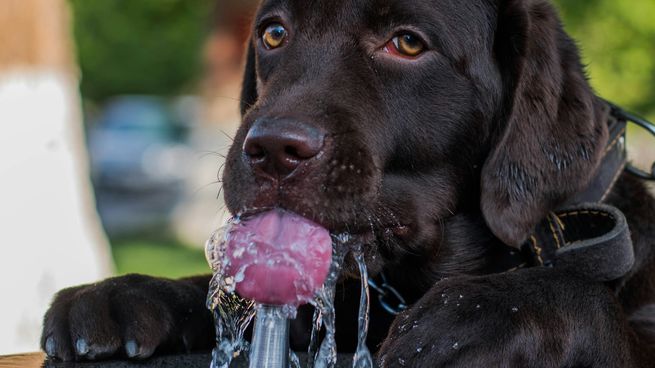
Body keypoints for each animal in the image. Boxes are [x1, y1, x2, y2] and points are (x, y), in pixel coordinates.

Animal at [41, 1, 655, 366]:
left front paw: (477, 320)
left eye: (407, 43)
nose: (271, 149)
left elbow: (582, 298)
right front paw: (127, 294)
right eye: (274, 33)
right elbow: (232, 293)